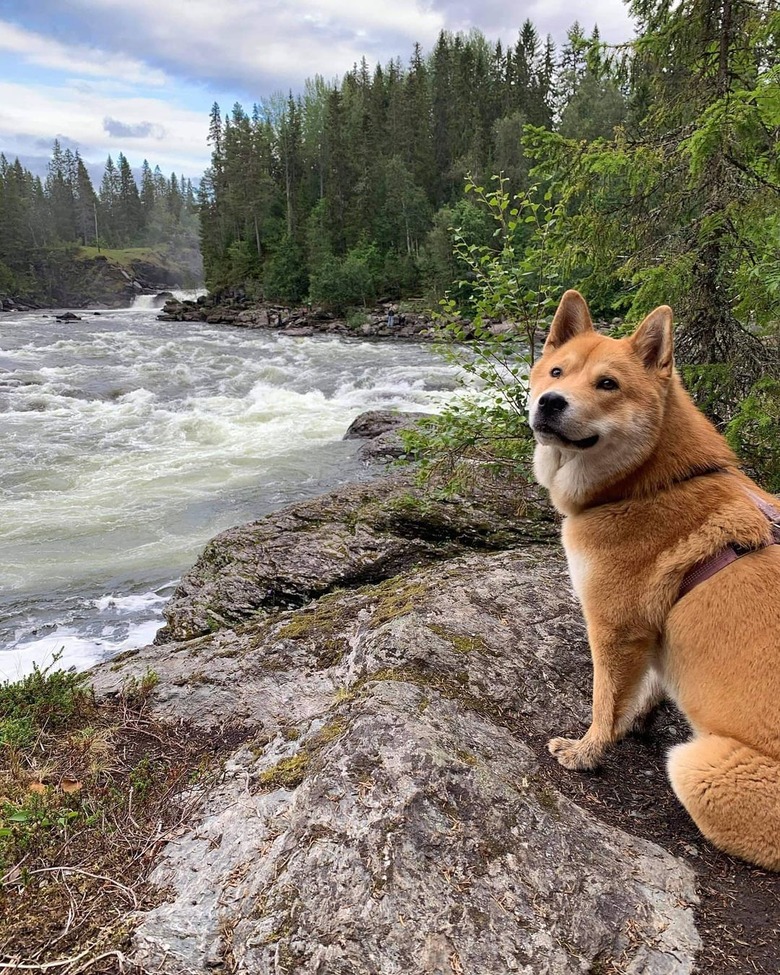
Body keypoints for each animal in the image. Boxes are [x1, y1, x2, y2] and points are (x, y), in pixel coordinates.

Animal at [528, 288, 780, 868]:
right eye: (556, 371)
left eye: (608, 384)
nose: (550, 401)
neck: (648, 483)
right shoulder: (647, 632)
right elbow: (642, 689)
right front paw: (635, 722)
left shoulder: (612, 627)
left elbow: (604, 699)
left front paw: (588, 751)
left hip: (698, 768)